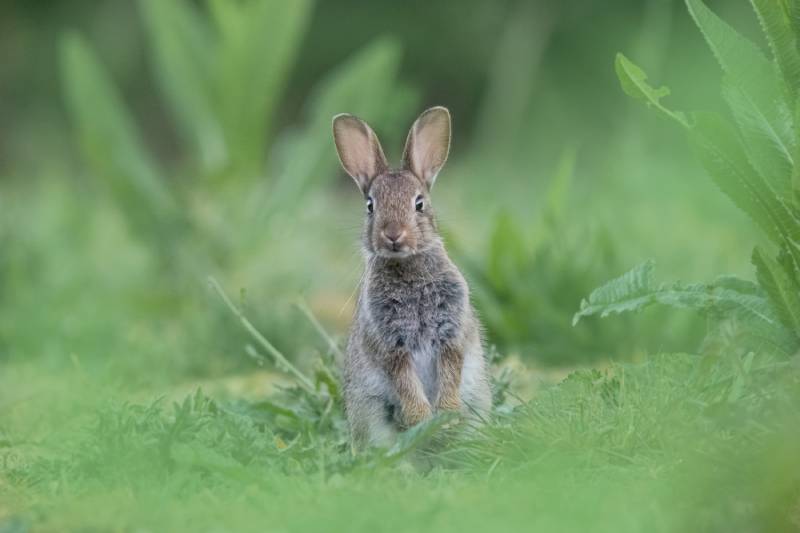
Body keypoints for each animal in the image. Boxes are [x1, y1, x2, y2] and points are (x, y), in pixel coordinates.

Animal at [332, 106, 492, 450]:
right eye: (370, 206)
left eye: (419, 204)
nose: (393, 235)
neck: (408, 268)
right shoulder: (391, 344)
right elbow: (405, 382)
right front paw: (422, 419)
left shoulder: (451, 332)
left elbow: (450, 371)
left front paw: (446, 414)